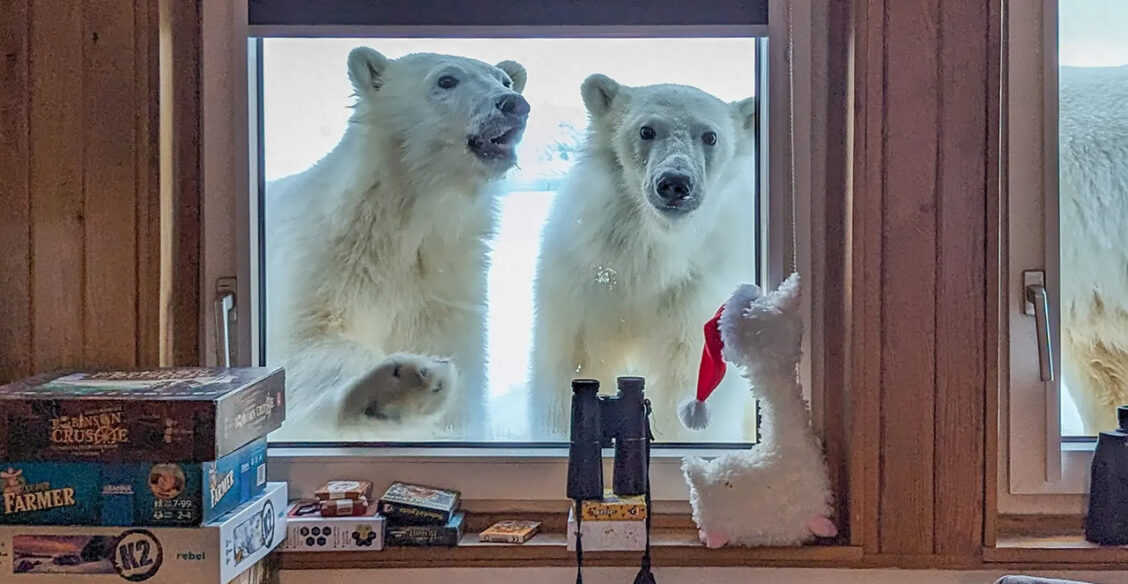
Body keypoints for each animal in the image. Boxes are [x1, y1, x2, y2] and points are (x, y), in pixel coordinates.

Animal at [527, 73, 758, 441]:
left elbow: (688, 376)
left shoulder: (697, 290)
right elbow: (574, 361)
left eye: (710, 136)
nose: (675, 182)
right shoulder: (586, 276)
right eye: (646, 130)